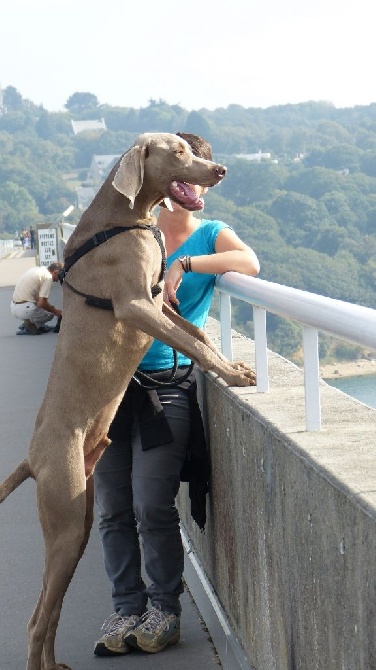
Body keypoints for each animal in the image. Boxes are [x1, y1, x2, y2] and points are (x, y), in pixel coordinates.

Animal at [0, 133, 256, 670]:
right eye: (178, 151)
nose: (220, 170)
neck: (127, 215)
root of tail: (32, 458)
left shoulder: (158, 301)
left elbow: (198, 334)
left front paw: (234, 367)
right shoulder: (137, 305)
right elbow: (196, 345)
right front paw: (230, 374)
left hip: (78, 516)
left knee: (49, 609)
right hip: (65, 517)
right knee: (36, 618)